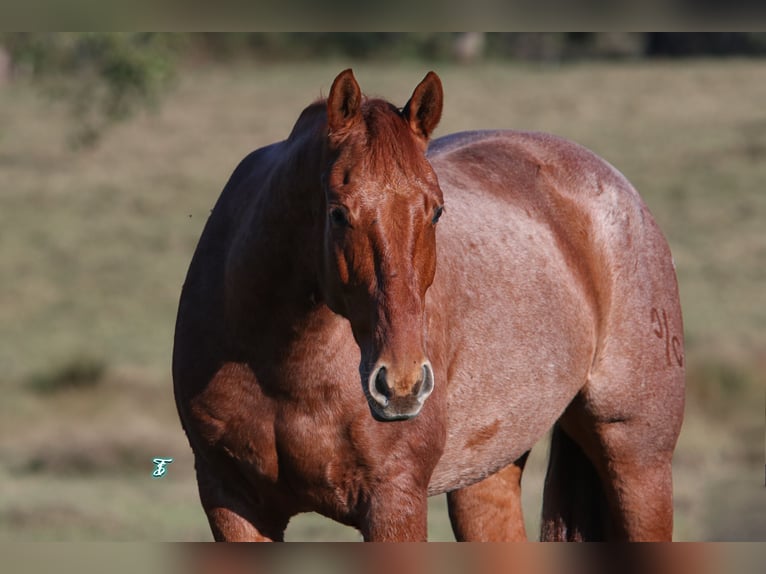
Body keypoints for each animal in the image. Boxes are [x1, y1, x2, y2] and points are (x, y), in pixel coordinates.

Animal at [176, 70, 688, 544]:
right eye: (338, 213)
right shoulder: (233, 504)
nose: (401, 385)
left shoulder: (393, 500)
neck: (285, 364)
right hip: (486, 478)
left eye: (437, 210)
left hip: (638, 461)